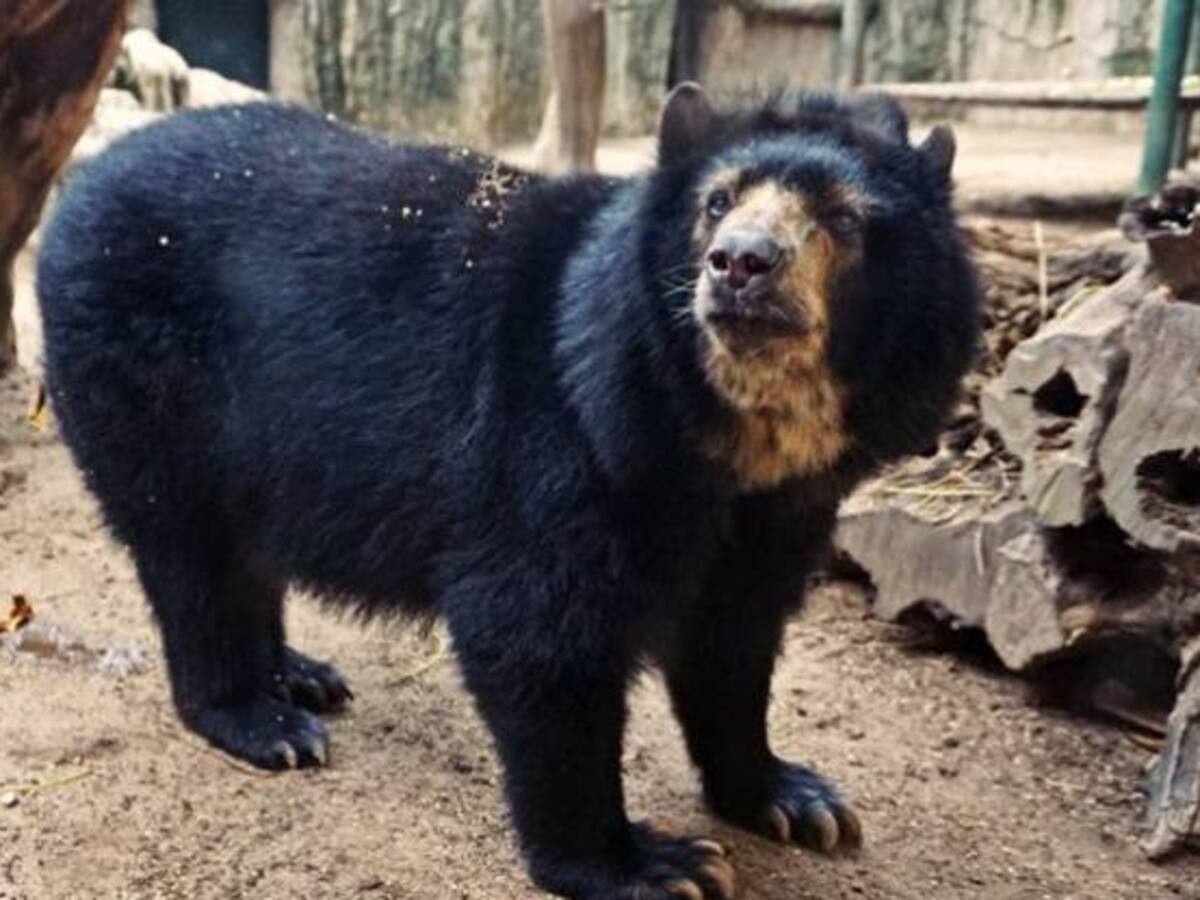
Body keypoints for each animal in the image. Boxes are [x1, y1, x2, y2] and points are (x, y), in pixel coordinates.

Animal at [36, 84, 980, 899]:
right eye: (716, 202)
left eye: (846, 220)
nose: (741, 264)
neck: (731, 436)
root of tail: (87, 178)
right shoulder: (565, 435)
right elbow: (535, 632)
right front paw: (649, 864)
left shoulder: (781, 511)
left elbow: (734, 637)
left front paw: (794, 798)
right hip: (145, 373)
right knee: (190, 551)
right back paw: (259, 721)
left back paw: (298, 675)